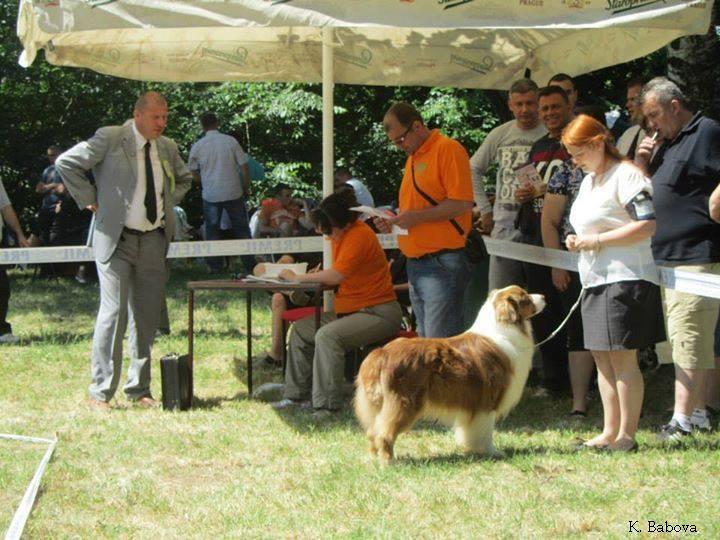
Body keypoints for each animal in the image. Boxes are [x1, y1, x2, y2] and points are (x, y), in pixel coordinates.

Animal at [352, 286, 544, 464]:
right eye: (525, 299)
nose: (543, 296)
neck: (501, 329)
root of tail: (382, 352)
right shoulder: (488, 399)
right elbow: (486, 431)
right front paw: (492, 452)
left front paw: (471, 448)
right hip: (404, 402)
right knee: (384, 433)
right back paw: (389, 462)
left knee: (372, 431)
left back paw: (373, 458)